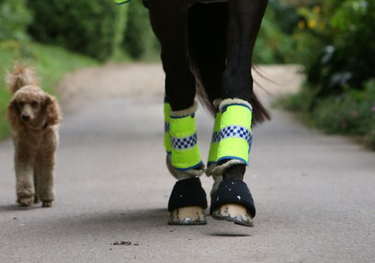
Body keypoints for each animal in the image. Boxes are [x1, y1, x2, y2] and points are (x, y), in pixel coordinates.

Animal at [6, 64, 62, 208]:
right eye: (20, 103)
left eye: (34, 103)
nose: (24, 116)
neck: (36, 132)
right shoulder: (23, 155)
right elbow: (24, 176)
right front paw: (25, 197)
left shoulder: (47, 156)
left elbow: (47, 178)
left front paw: (47, 199)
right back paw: (31, 197)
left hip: (38, 157)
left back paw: (37, 196)